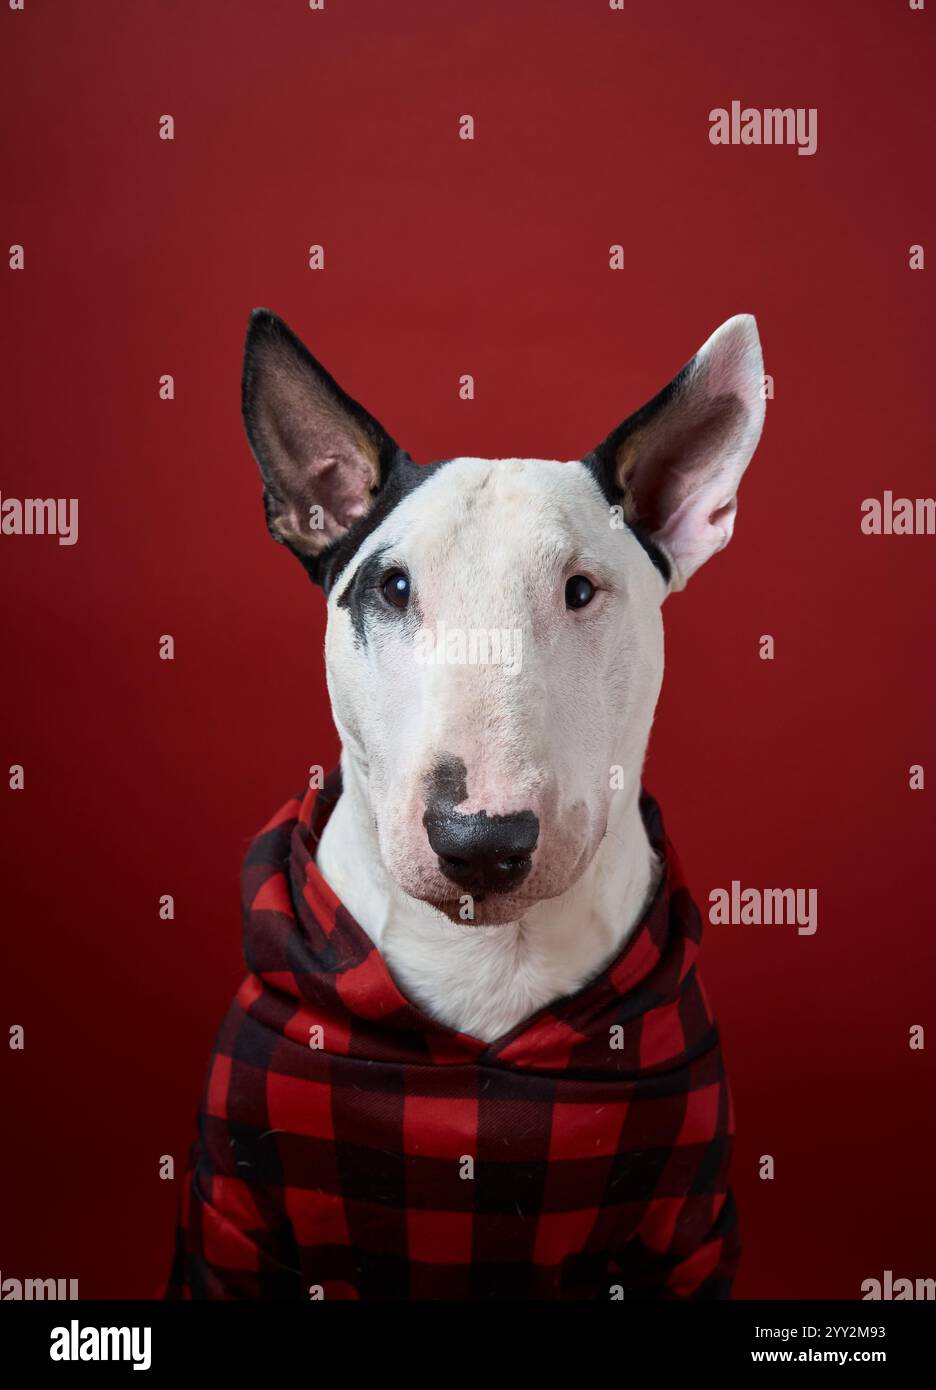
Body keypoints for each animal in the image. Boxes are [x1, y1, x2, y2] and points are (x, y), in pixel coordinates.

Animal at [168, 309, 762, 1295]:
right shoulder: (233, 1222)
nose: (480, 841)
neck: (487, 964)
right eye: (393, 587)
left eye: (580, 589)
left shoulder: (688, 1231)